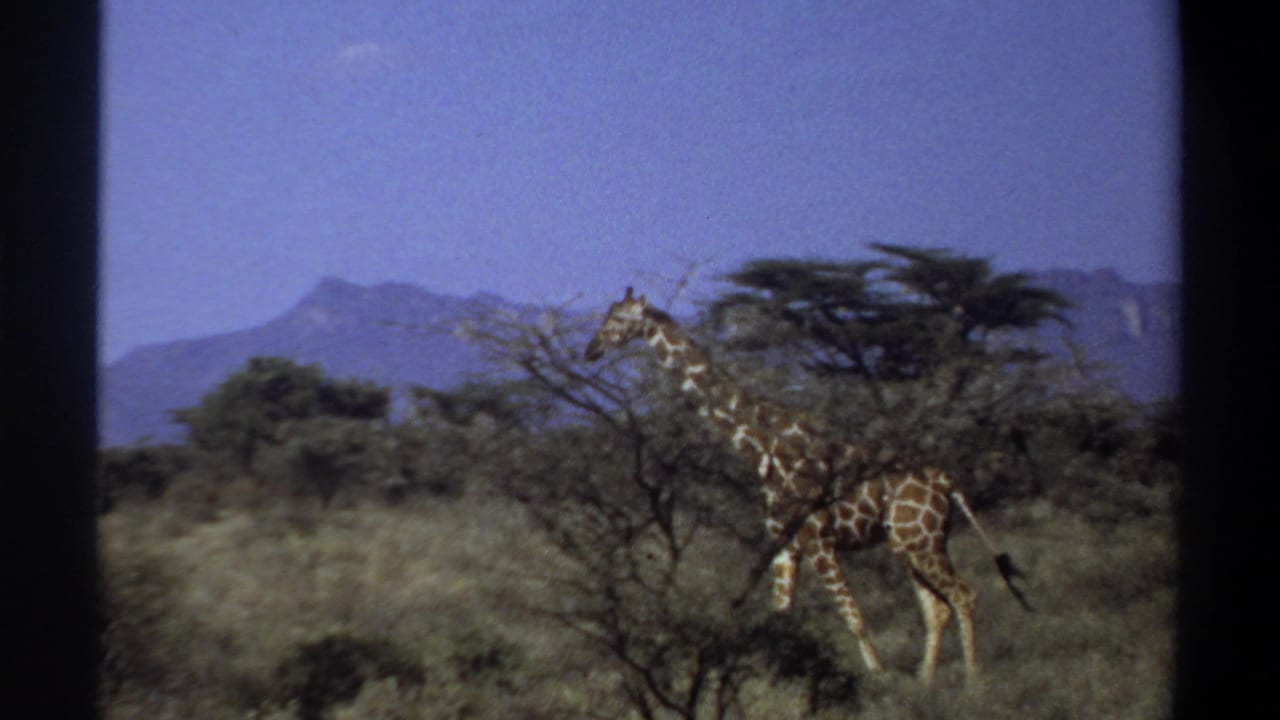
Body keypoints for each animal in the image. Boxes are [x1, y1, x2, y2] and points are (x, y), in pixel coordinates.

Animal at [584, 288, 1029, 685]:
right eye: (606, 316)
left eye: (618, 320)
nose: (591, 350)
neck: (762, 446)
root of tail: (947, 480)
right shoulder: (786, 544)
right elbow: (781, 616)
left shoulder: (819, 541)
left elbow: (855, 619)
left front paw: (879, 682)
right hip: (909, 544)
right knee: (937, 609)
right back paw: (926, 683)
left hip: (921, 542)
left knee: (965, 595)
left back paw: (972, 683)